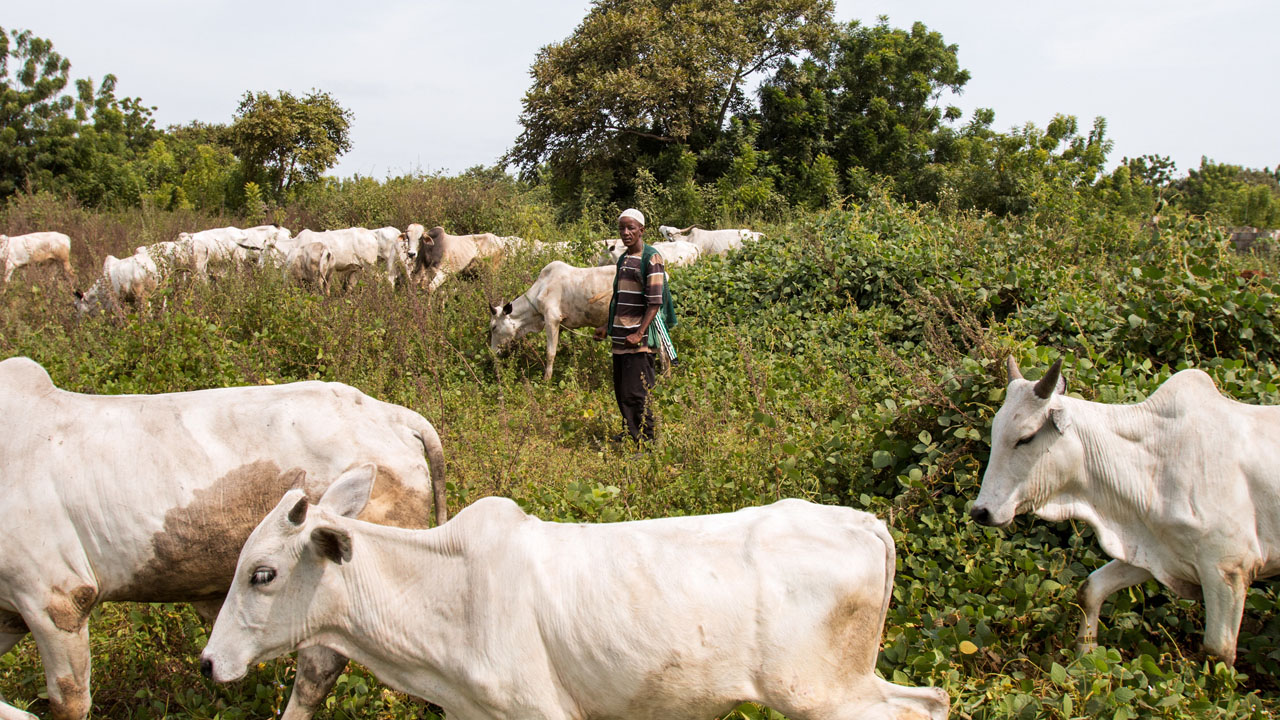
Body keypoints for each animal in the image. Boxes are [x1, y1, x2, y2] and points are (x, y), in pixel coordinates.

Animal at [199, 471, 952, 717]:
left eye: (262, 574)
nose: (209, 664)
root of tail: (865, 522)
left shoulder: (543, 711)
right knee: (933, 700)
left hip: (821, 694)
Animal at [967, 356, 1280, 666]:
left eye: (1026, 438)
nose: (981, 512)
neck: (1156, 462)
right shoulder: (1152, 551)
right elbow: (1090, 590)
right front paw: (1086, 658)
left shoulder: (1228, 569)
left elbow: (1218, 652)